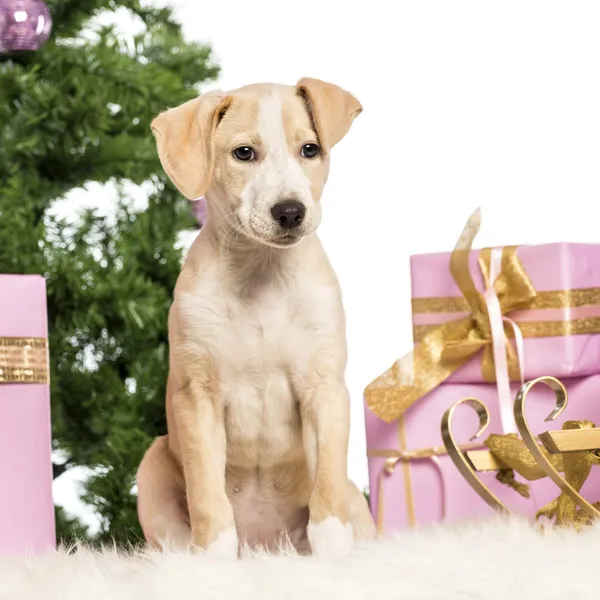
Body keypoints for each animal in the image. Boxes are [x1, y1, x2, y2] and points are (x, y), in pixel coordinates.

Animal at [138, 76, 378, 556]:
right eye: (244, 153)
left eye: (309, 149)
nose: (290, 212)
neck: (261, 273)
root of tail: (266, 545)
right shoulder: (197, 397)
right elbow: (207, 495)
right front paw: (214, 559)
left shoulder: (325, 390)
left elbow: (326, 485)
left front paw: (335, 554)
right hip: (152, 465)